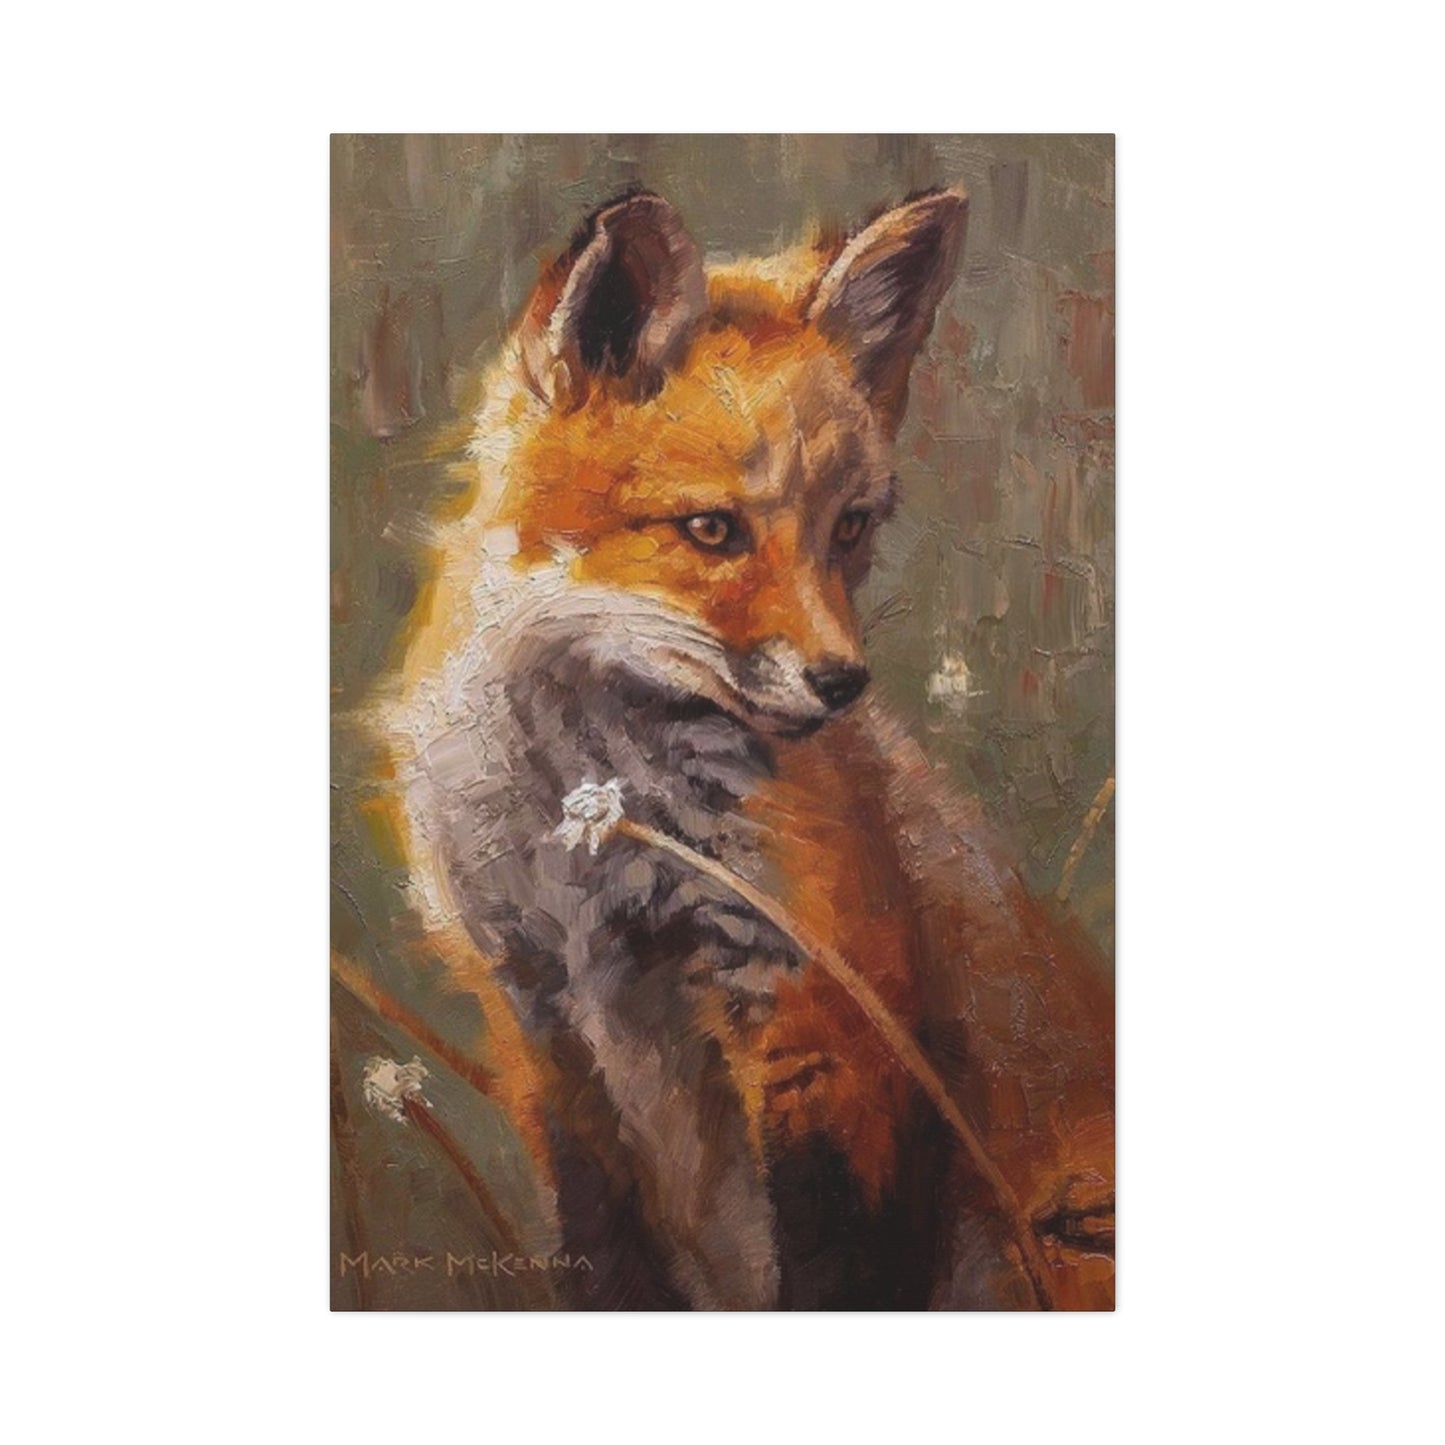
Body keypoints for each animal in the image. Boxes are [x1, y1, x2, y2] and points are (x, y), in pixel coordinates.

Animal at [374, 187, 1115, 1310]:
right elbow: (602, 1256)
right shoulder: (537, 1015)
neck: (594, 826)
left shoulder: (825, 1003)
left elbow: (835, 1264)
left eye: (849, 526)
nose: (841, 682)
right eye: (713, 529)